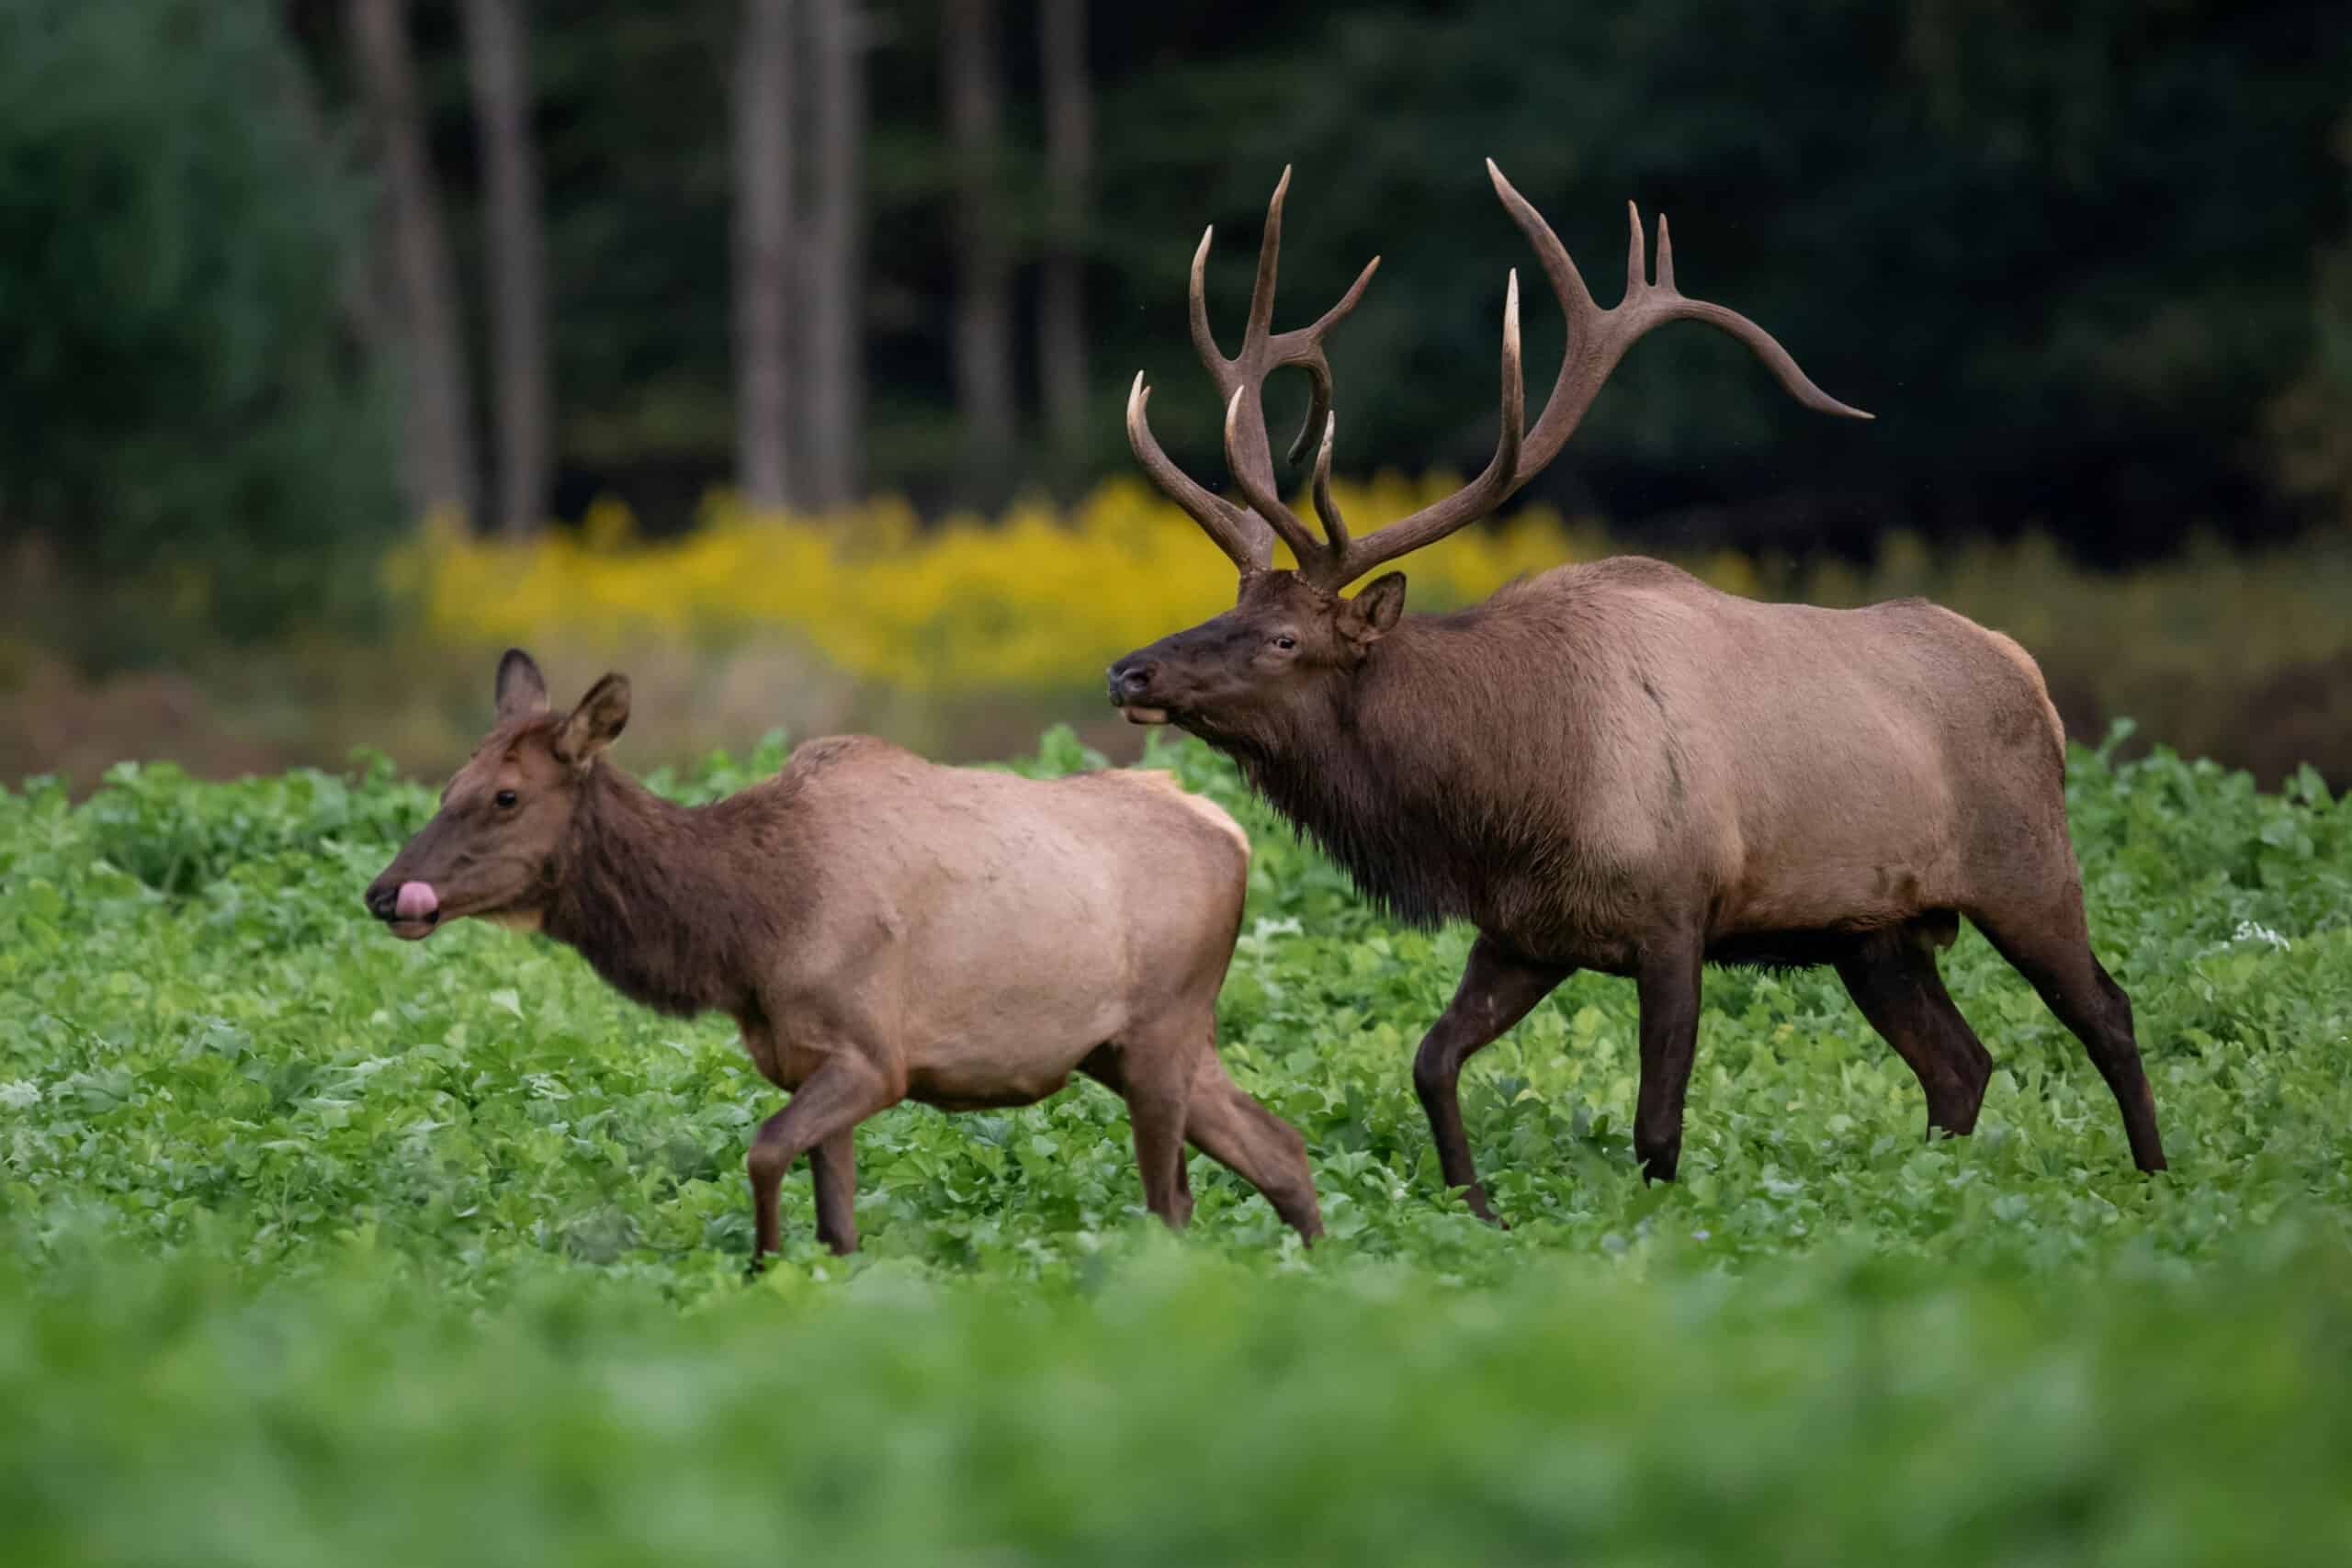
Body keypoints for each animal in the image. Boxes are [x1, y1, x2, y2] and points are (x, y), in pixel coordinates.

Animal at [363, 650, 1322, 1257]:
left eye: (506, 796)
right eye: (446, 787)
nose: (385, 891)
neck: (746, 932)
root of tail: (1232, 831)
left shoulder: (872, 1056)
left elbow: (762, 1153)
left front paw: (760, 1268)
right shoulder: (809, 1060)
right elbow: (837, 1221)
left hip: (1162, 1028)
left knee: (1173, 1200)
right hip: (1127, 1047)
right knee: (1280, 1147)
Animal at [1105, 162, 2167, 1221]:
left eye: (1285, 638)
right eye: (1228, 607)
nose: (1129, 669)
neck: (1508, 795)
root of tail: (2027, 672)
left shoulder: (1674, 914)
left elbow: (1656, 1128)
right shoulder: (1525, 931)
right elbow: (1430, 1063)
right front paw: (1478, 1212)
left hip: (2025, 863)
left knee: (2106, 1011)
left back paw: (2158, 1179)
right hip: (1875, 930)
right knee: (1959, 1064)